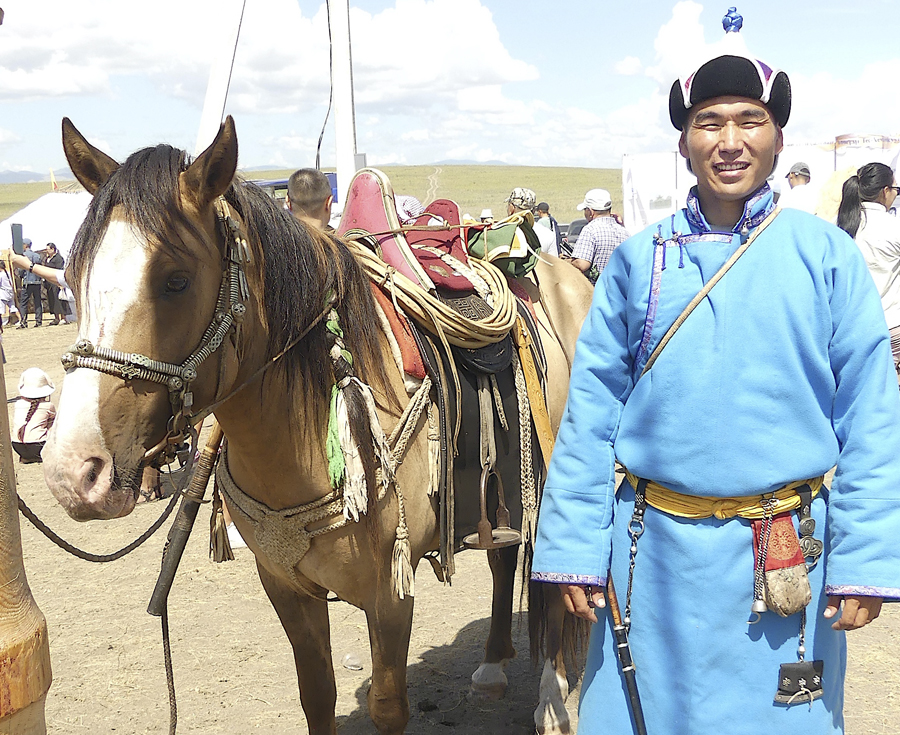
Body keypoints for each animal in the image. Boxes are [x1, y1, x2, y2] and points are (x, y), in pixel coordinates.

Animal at [42, 118, 596, 732]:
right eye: (71, 275)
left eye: (176, 280)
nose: (75, 471)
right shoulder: (286, 587)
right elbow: (317, 694)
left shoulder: (390, 595)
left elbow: (388, 706)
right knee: (502, 558)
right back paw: (494, 665)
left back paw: (552, 698)